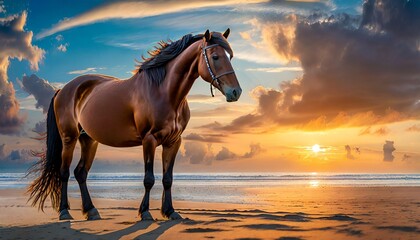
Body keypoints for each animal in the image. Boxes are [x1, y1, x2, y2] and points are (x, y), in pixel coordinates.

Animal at [26, 29, 241, 221]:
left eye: (230, 56)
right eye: (215, 57)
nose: (236, 92)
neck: (164, 91)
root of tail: (64, 89)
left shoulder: (173, 142)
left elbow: (167, 179)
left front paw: (170, 212)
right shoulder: (149, 140)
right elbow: (149, 179)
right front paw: (145, 213)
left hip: (89, 140)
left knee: (81, 173)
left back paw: (91, 211)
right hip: (69, 138)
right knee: (64, 172)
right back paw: (64, 212)